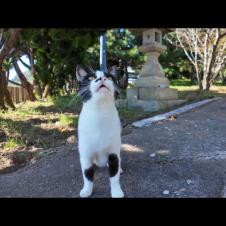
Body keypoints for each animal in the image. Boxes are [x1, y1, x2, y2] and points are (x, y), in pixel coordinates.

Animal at [77, 65, 124, 198]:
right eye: (91, 78)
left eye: (109, 77)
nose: (101, 78)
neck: (100, 112)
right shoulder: (86, 155)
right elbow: (87, 175)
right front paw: (87, 190)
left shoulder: (113, 154)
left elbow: (114, 176)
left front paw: (116, 192)